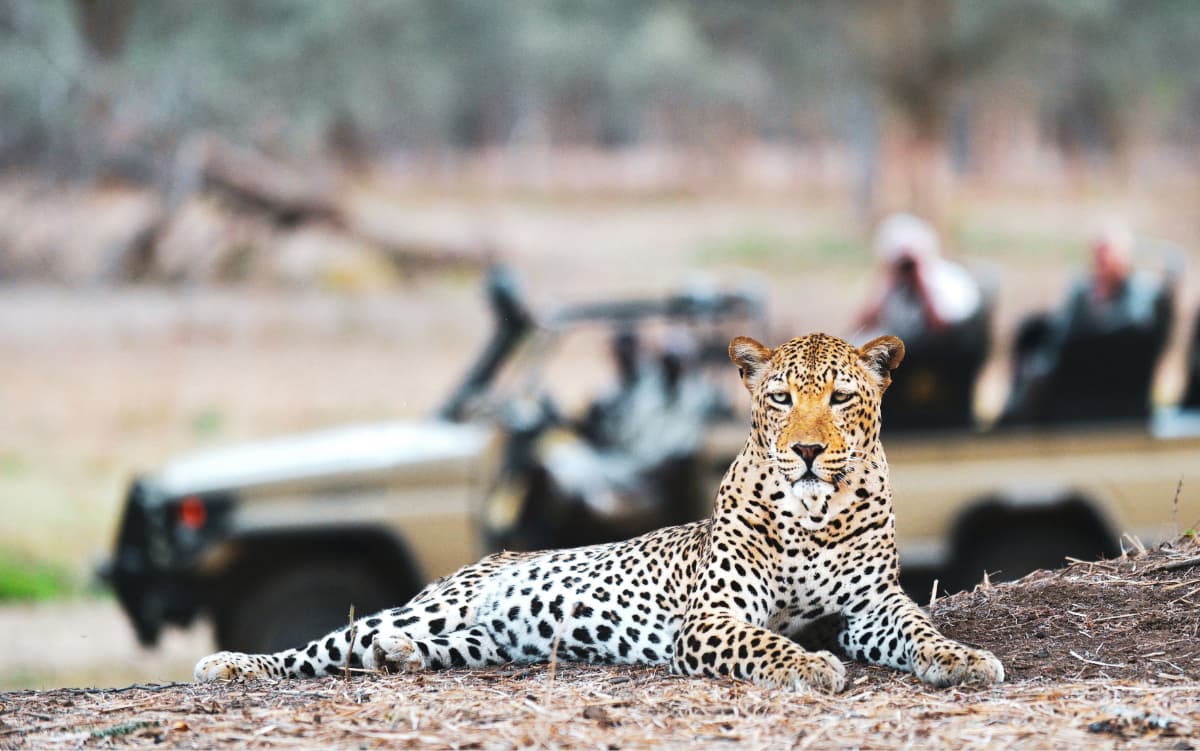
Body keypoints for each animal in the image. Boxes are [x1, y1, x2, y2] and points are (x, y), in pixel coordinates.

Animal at [194, 332, 1004, 692]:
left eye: (840, 397)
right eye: (780, 397)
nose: (806, 450)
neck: (814, 516)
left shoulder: (871, 607)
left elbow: (919, 628)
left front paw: (963, 657)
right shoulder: (711, 620)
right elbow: (766, 643)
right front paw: (809, 664)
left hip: (483, 641)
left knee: (402, 648)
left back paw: (401, 659)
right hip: (424, 606)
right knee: (321, 645)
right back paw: (230, 664)